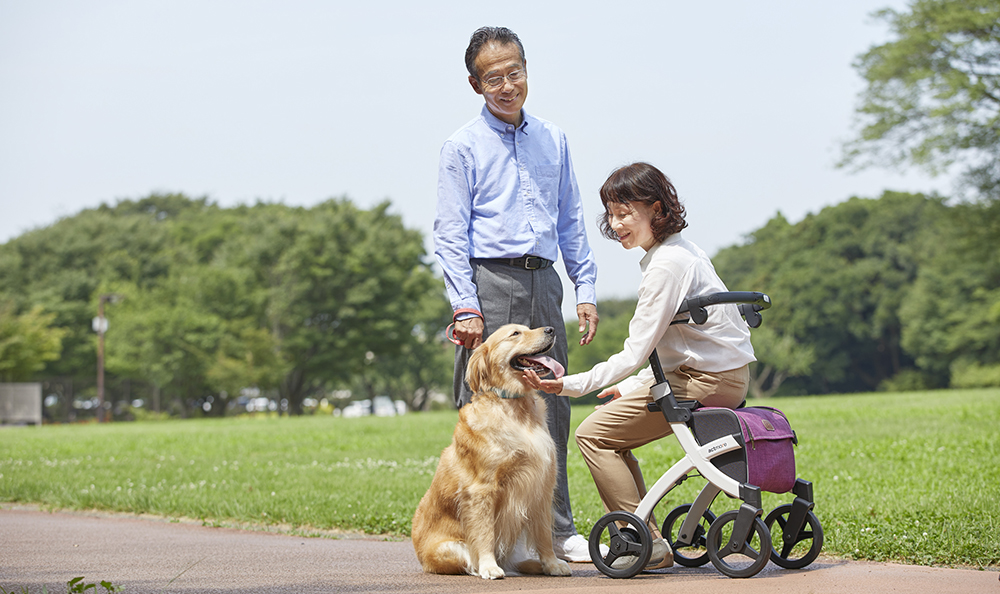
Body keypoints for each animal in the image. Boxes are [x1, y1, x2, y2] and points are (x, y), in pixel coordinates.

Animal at [412, 324, 572, 580]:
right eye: (515, 333)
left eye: (528, 328)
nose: (550, 329)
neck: (516, 407)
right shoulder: (482, 489)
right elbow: (485, 533)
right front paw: (489, 566)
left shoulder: (541, 485)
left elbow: (544, 534)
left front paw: (552, 563)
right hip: (449, 549)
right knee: (470, 561)